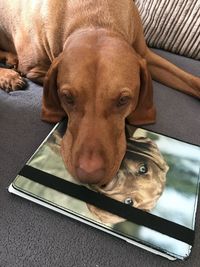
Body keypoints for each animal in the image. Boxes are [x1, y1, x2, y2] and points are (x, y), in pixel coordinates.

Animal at [0, 0, 200, 187]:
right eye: (67, 97)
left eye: (123, 100)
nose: (89, 174)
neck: (94, 19)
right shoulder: (35, 71)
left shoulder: (145, 55)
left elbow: (192, 81)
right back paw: (9, 74)